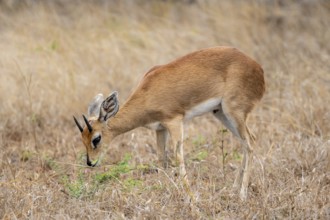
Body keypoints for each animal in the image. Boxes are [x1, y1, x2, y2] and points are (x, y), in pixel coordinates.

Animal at [73, 46, 264, 199]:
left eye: (96, 138)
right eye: (82, 139)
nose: (90, 162)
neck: (148, 92)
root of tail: (258, 69)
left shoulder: (174, 122)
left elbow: (178, 157)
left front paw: (190, 198)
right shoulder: (160, 129)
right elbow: (161, 159)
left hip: (234, 112)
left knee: (250, 143)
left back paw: (242, 195)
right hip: (221, 113)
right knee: (248, 141)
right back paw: (233, 190)